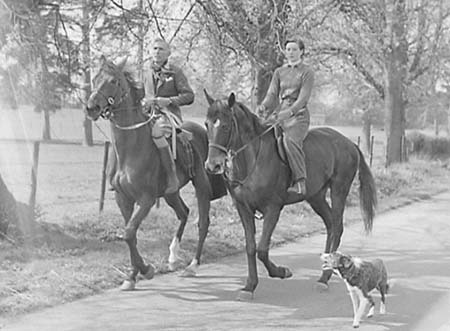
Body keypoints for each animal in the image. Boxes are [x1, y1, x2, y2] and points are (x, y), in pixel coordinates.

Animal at [84, 58, 227, 292]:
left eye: (113, 81)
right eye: (95, 78)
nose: (91, 107)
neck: (129, 149)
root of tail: (204, 132)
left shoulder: (146, 199)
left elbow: (129, 232)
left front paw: (145, 270)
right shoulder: (123, 199)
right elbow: (129, 234)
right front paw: (132, 275)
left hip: (201, 186)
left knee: (202, 223)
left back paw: (192, 266)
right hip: (170, 193)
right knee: (184, 213)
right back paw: (173, 256)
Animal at [204, 91, 376, 300]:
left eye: (225, 125)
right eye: (206, 124)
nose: (212, 166)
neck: (254, 159)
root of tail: (350, 143)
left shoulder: (273, 208)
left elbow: (262, 249)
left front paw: (281, 272)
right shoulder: (243, 208)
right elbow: (251, 247)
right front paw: (249, 286)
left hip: (339, 190)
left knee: (336, 227)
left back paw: (324, 278)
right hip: (316, 197)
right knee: (330, 225)